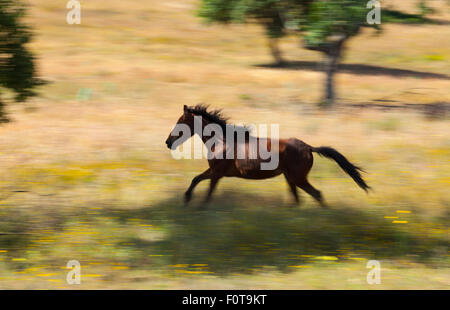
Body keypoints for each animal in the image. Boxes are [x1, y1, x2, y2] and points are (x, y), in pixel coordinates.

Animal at [165, 104, 370, 206]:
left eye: (180, 122)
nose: (168, 142)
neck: (221, 141)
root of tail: (309, 147)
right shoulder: (215, 172)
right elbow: (196, 180)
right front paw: (187, 199)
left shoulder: (217, 173)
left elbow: (207, 190)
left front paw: (194, 204)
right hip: (290, 178)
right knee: (298, 199)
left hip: (298, 178)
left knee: (316, 194)